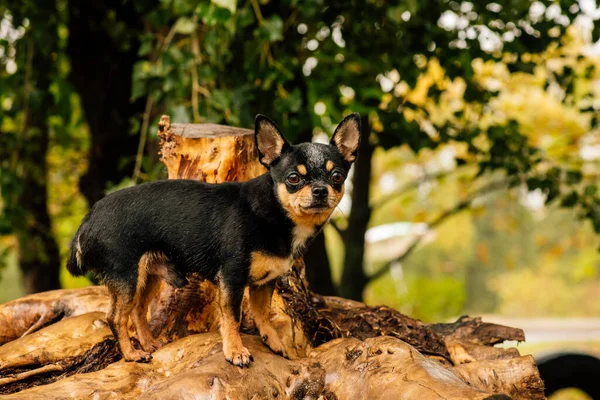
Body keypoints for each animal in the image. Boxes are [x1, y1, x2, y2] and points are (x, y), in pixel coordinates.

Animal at [68, 111, 364, 366]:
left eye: (337, 176)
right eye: (293, 178)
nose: (320, 190)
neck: (275, 212)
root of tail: (88, 220)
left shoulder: (264, 283)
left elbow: (262, 315)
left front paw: (274, 342)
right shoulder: (232, 278)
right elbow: (232, 318)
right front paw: (235, 351)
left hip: (147, 274)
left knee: (139, 309)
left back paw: (148, 344)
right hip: (127, 277)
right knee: (116, 317)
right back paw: (131, 354)